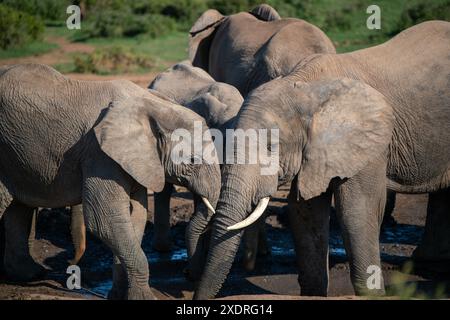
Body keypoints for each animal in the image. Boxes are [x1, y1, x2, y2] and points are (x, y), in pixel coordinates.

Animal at [0, 63, 220, 300]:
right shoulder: (100, 154)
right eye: (192, 160)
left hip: (18, 155)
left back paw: (29, 275)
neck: (153, 106)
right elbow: (106, 219)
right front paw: (143, 299)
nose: (188, 274)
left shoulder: (134, 158)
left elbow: (135, 215)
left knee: (17, 210)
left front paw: (118, 296)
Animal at [194, 20, 450, 300]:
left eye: (272, 147)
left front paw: (372, 294)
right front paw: (314, 293)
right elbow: (305, 212)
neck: (304, 85)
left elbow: (356, 211)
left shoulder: (367, 144)